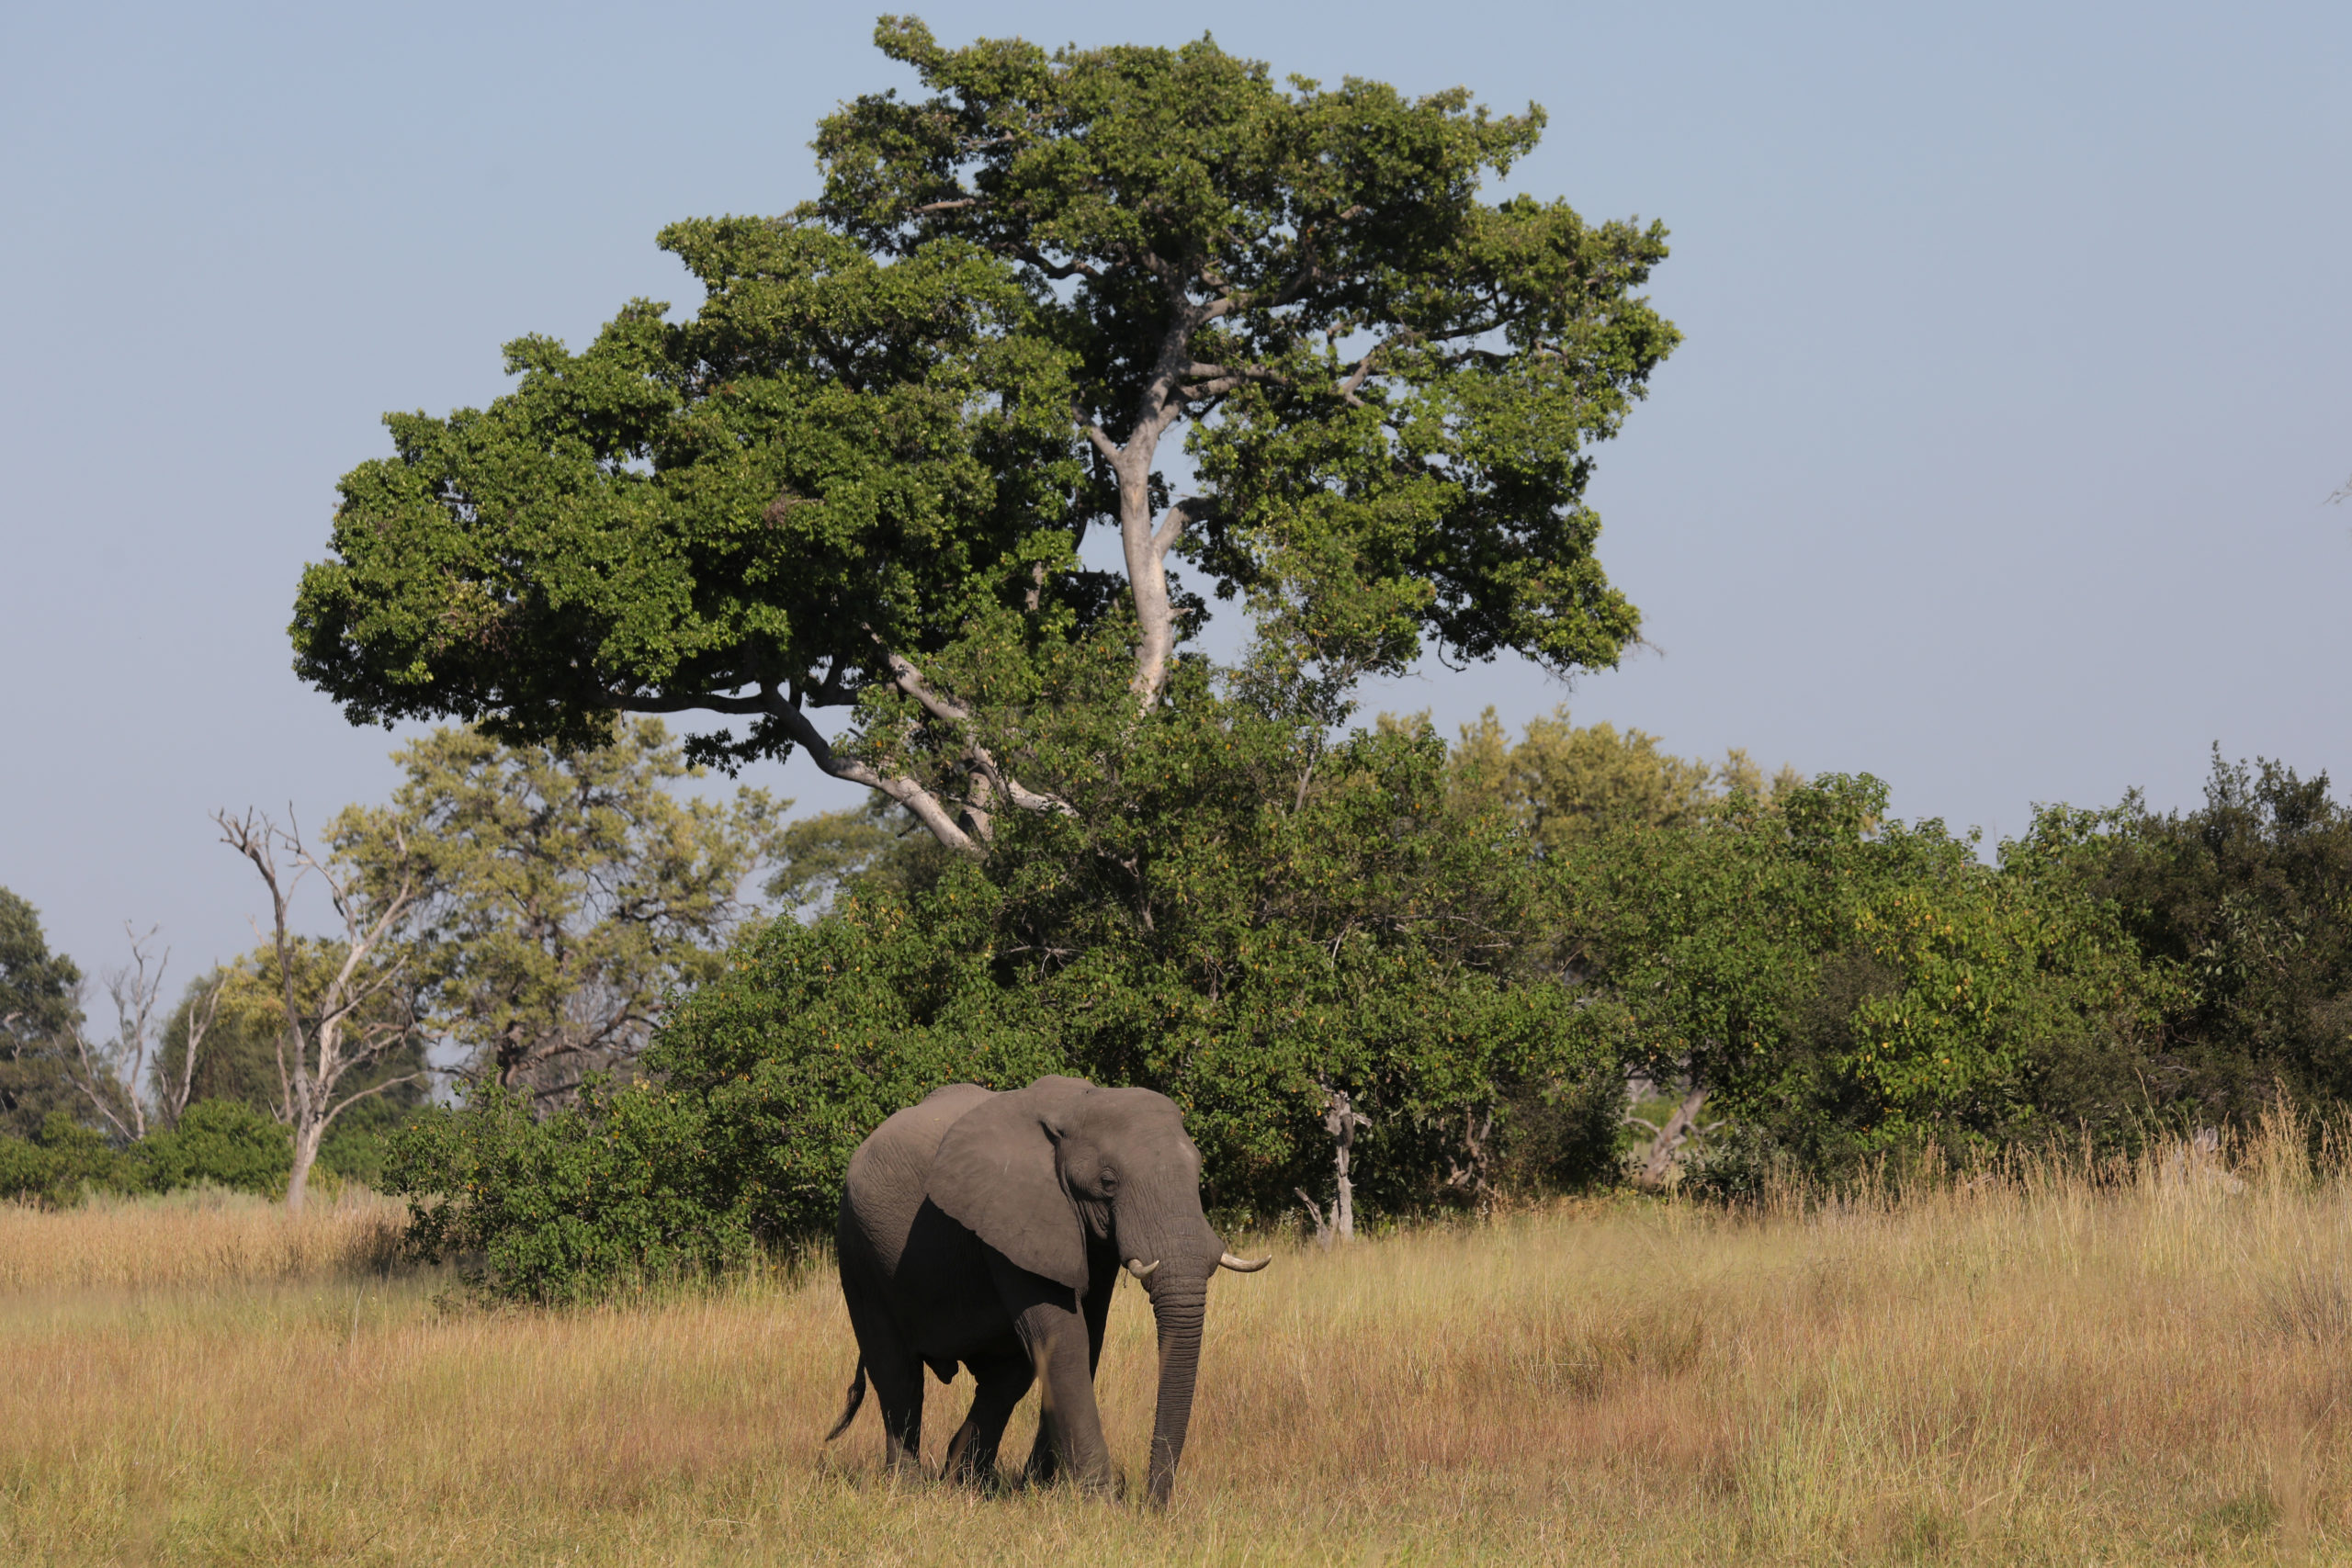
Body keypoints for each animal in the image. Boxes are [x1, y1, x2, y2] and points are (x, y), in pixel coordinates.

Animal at [828, 1072, 1270, 1504]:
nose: (1151, 1504)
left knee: (1005, 1380)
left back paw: (966, 1486)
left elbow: (1087, 1337)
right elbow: (1064, 1337)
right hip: (858, 1251)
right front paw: (1097, 1504)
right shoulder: (1014, 1213)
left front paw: (1046, 1490)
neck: (1078, 1105)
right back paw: (907, 1492)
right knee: (898, 1373)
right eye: (1107, 1182)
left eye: (1198, 1171)